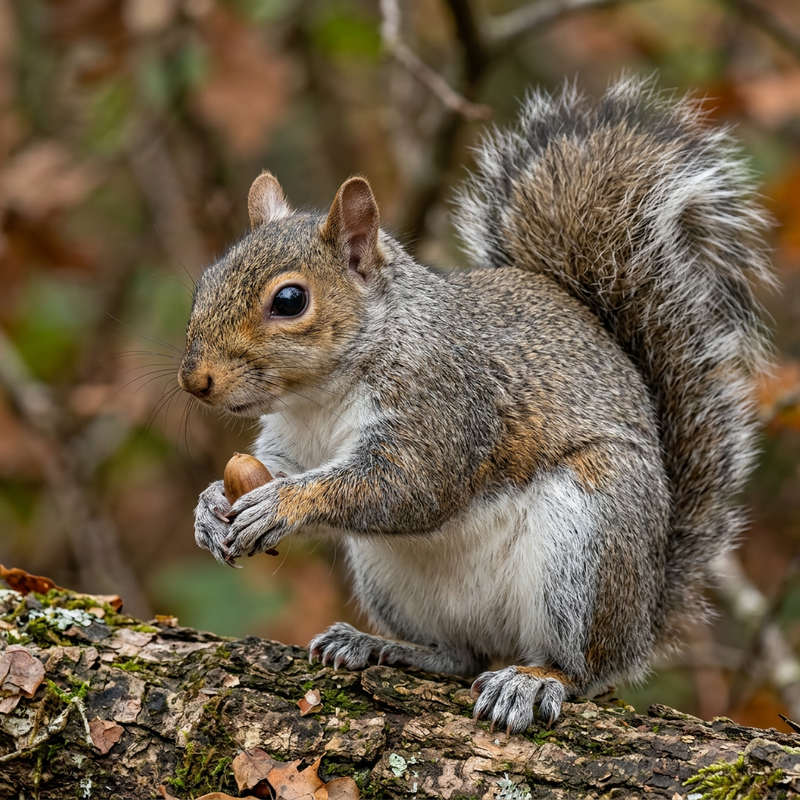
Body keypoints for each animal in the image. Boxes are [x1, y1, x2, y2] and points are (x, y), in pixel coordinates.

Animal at [177, 76, 773, 732]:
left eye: (289, 301)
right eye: (206, 282)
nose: (194, 381)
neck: (321, 397)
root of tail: (644, 619)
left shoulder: (445, 405)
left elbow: (405, 487)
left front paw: (282, 503)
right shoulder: (290, 439)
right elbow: (274, 468)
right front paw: (210, 506)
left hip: (589, 542)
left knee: (586, 670)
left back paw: (535, 681)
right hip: (392, 580)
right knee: (459, 656)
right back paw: (380, 645)